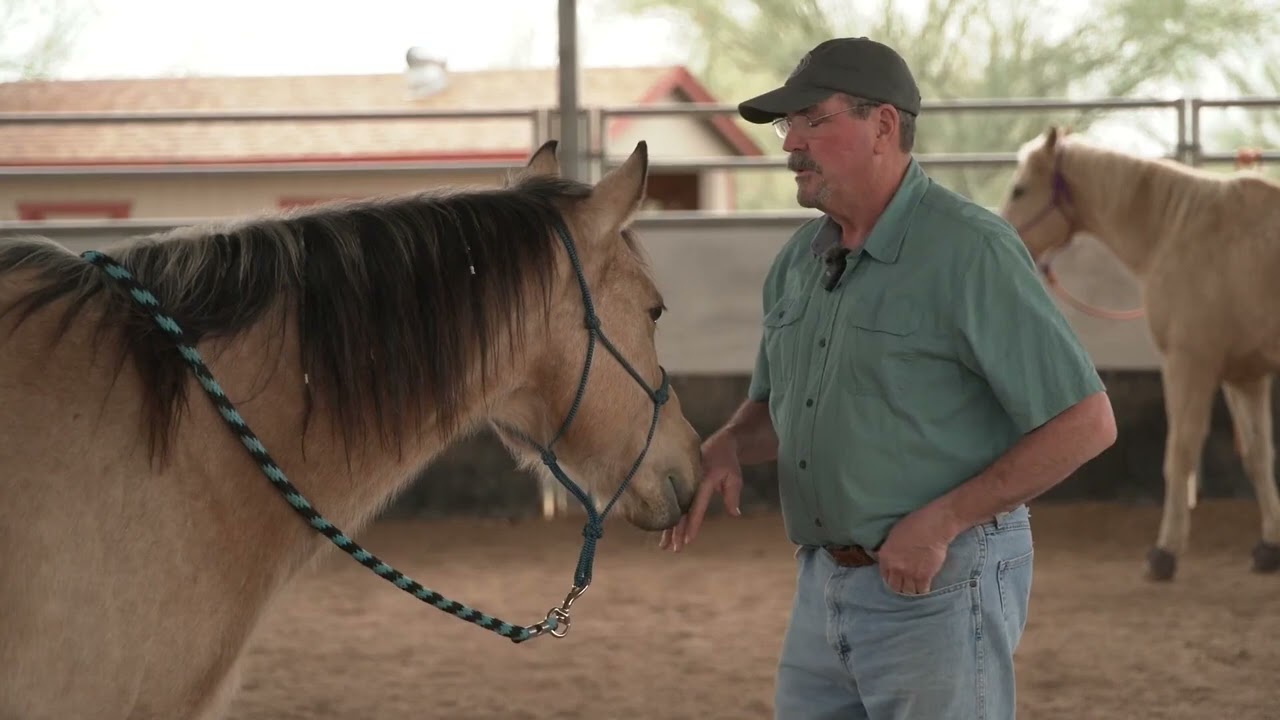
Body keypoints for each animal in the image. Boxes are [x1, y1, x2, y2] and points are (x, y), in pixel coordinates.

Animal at [998, 125, 1280, 582]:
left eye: (1020, 189)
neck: (1178, 229)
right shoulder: (1244, 374)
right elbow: (1257, 458)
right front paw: (1270, 547)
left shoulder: (1189, 363)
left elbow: (1179, 454)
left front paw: (1164, 553)